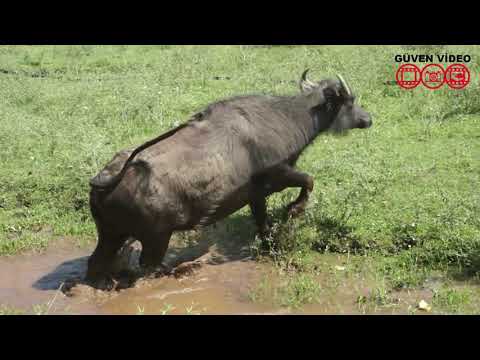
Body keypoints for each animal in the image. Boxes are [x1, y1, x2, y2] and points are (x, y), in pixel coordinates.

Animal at [85, 70, 372, 290]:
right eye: (350, 101)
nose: (368, 119)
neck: (284, 118)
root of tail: (106, 178)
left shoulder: (256, 194)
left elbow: (262, 222)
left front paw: (270, 243)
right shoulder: (278, 174)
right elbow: (308, 180)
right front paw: (293, 210)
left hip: (111, 234)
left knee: (96, 263)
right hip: (156, 238)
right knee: (148, 267)